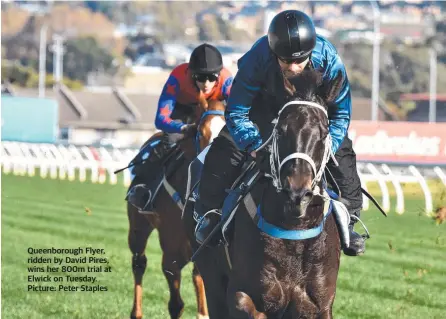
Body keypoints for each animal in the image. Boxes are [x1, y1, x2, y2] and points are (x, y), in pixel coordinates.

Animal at [127, 99, 226, 318]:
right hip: (138, 228)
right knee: (139, 263)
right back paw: (136, 312)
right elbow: (176, 304)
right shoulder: (171, 253)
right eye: (201, 133)